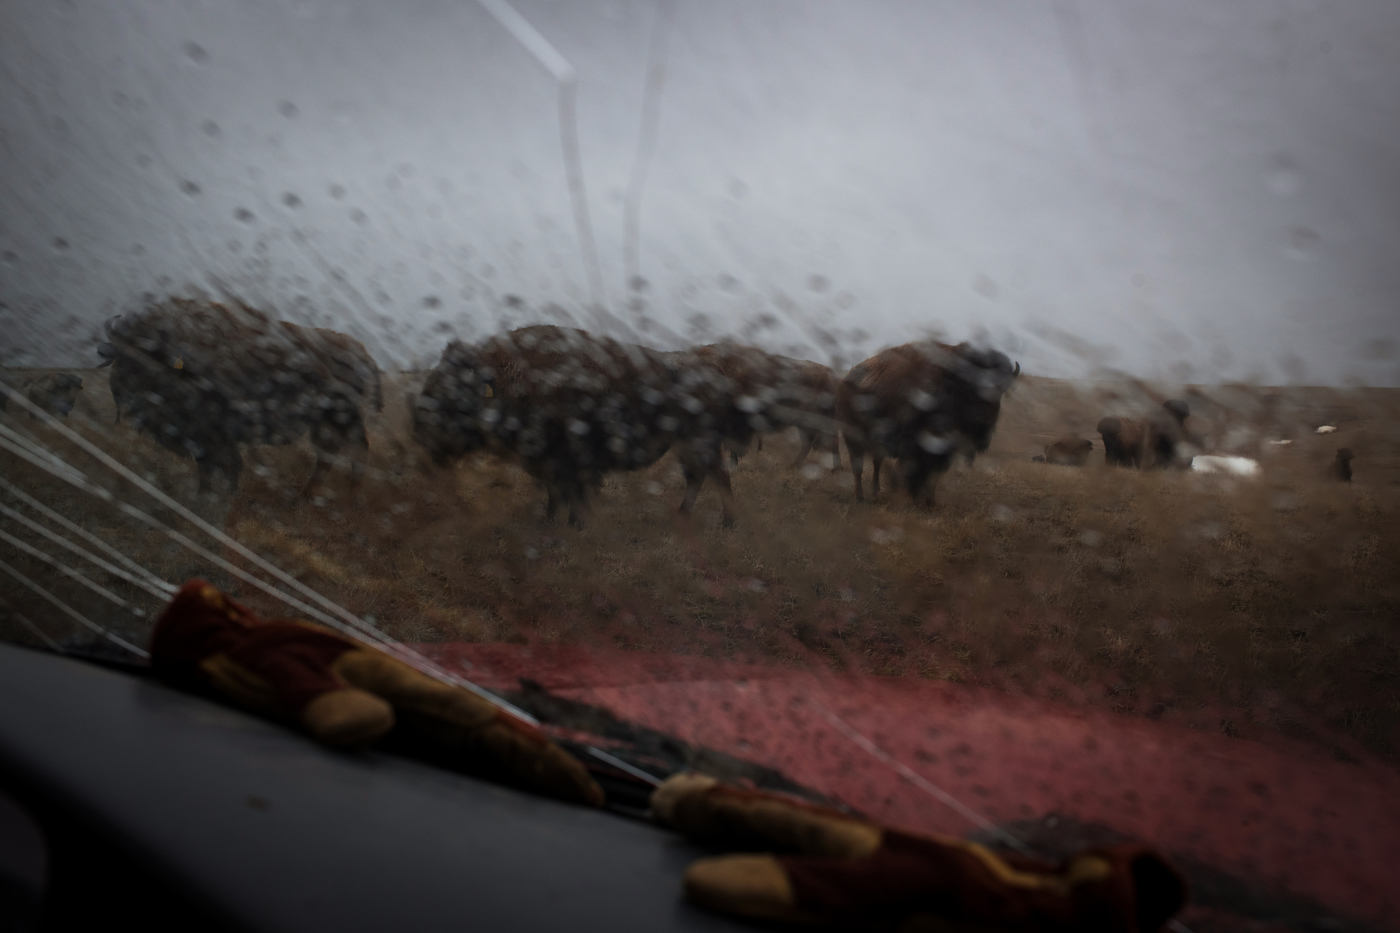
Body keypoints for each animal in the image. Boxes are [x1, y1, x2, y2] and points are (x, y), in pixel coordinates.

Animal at [98, 298, 383, 493]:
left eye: (146, 357)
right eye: (120, 355)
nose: (122, 393)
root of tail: (365, 355)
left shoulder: (212, 434)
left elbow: (218, 465)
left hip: (340, 420)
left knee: (354, 450)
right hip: (325, 424)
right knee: (333, 454)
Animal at [411, 323, 778, 526]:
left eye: (454, 393)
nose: (418, 427)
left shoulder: (571, 459)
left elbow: (574, 492)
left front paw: (574, 524)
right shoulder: (551, 462)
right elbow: (557, 493)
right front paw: (549, 521)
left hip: (701, 443)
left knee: (717, 476)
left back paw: (727, 523)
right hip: (686, 445)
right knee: (700, 477)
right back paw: (684, 516)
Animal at [828, 337, 1019, 504]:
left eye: (1002, 389)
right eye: (975, 387)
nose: (988, 418)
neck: (954, 383)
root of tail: (845, 379)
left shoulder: (944, 450)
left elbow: (934, 474)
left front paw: (930, 502)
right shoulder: (920, 447)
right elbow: (921, 472)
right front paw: (917, 499)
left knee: (876, 462)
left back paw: (876, 491)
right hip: (853, 437)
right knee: (858, 467)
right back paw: (860, 497)